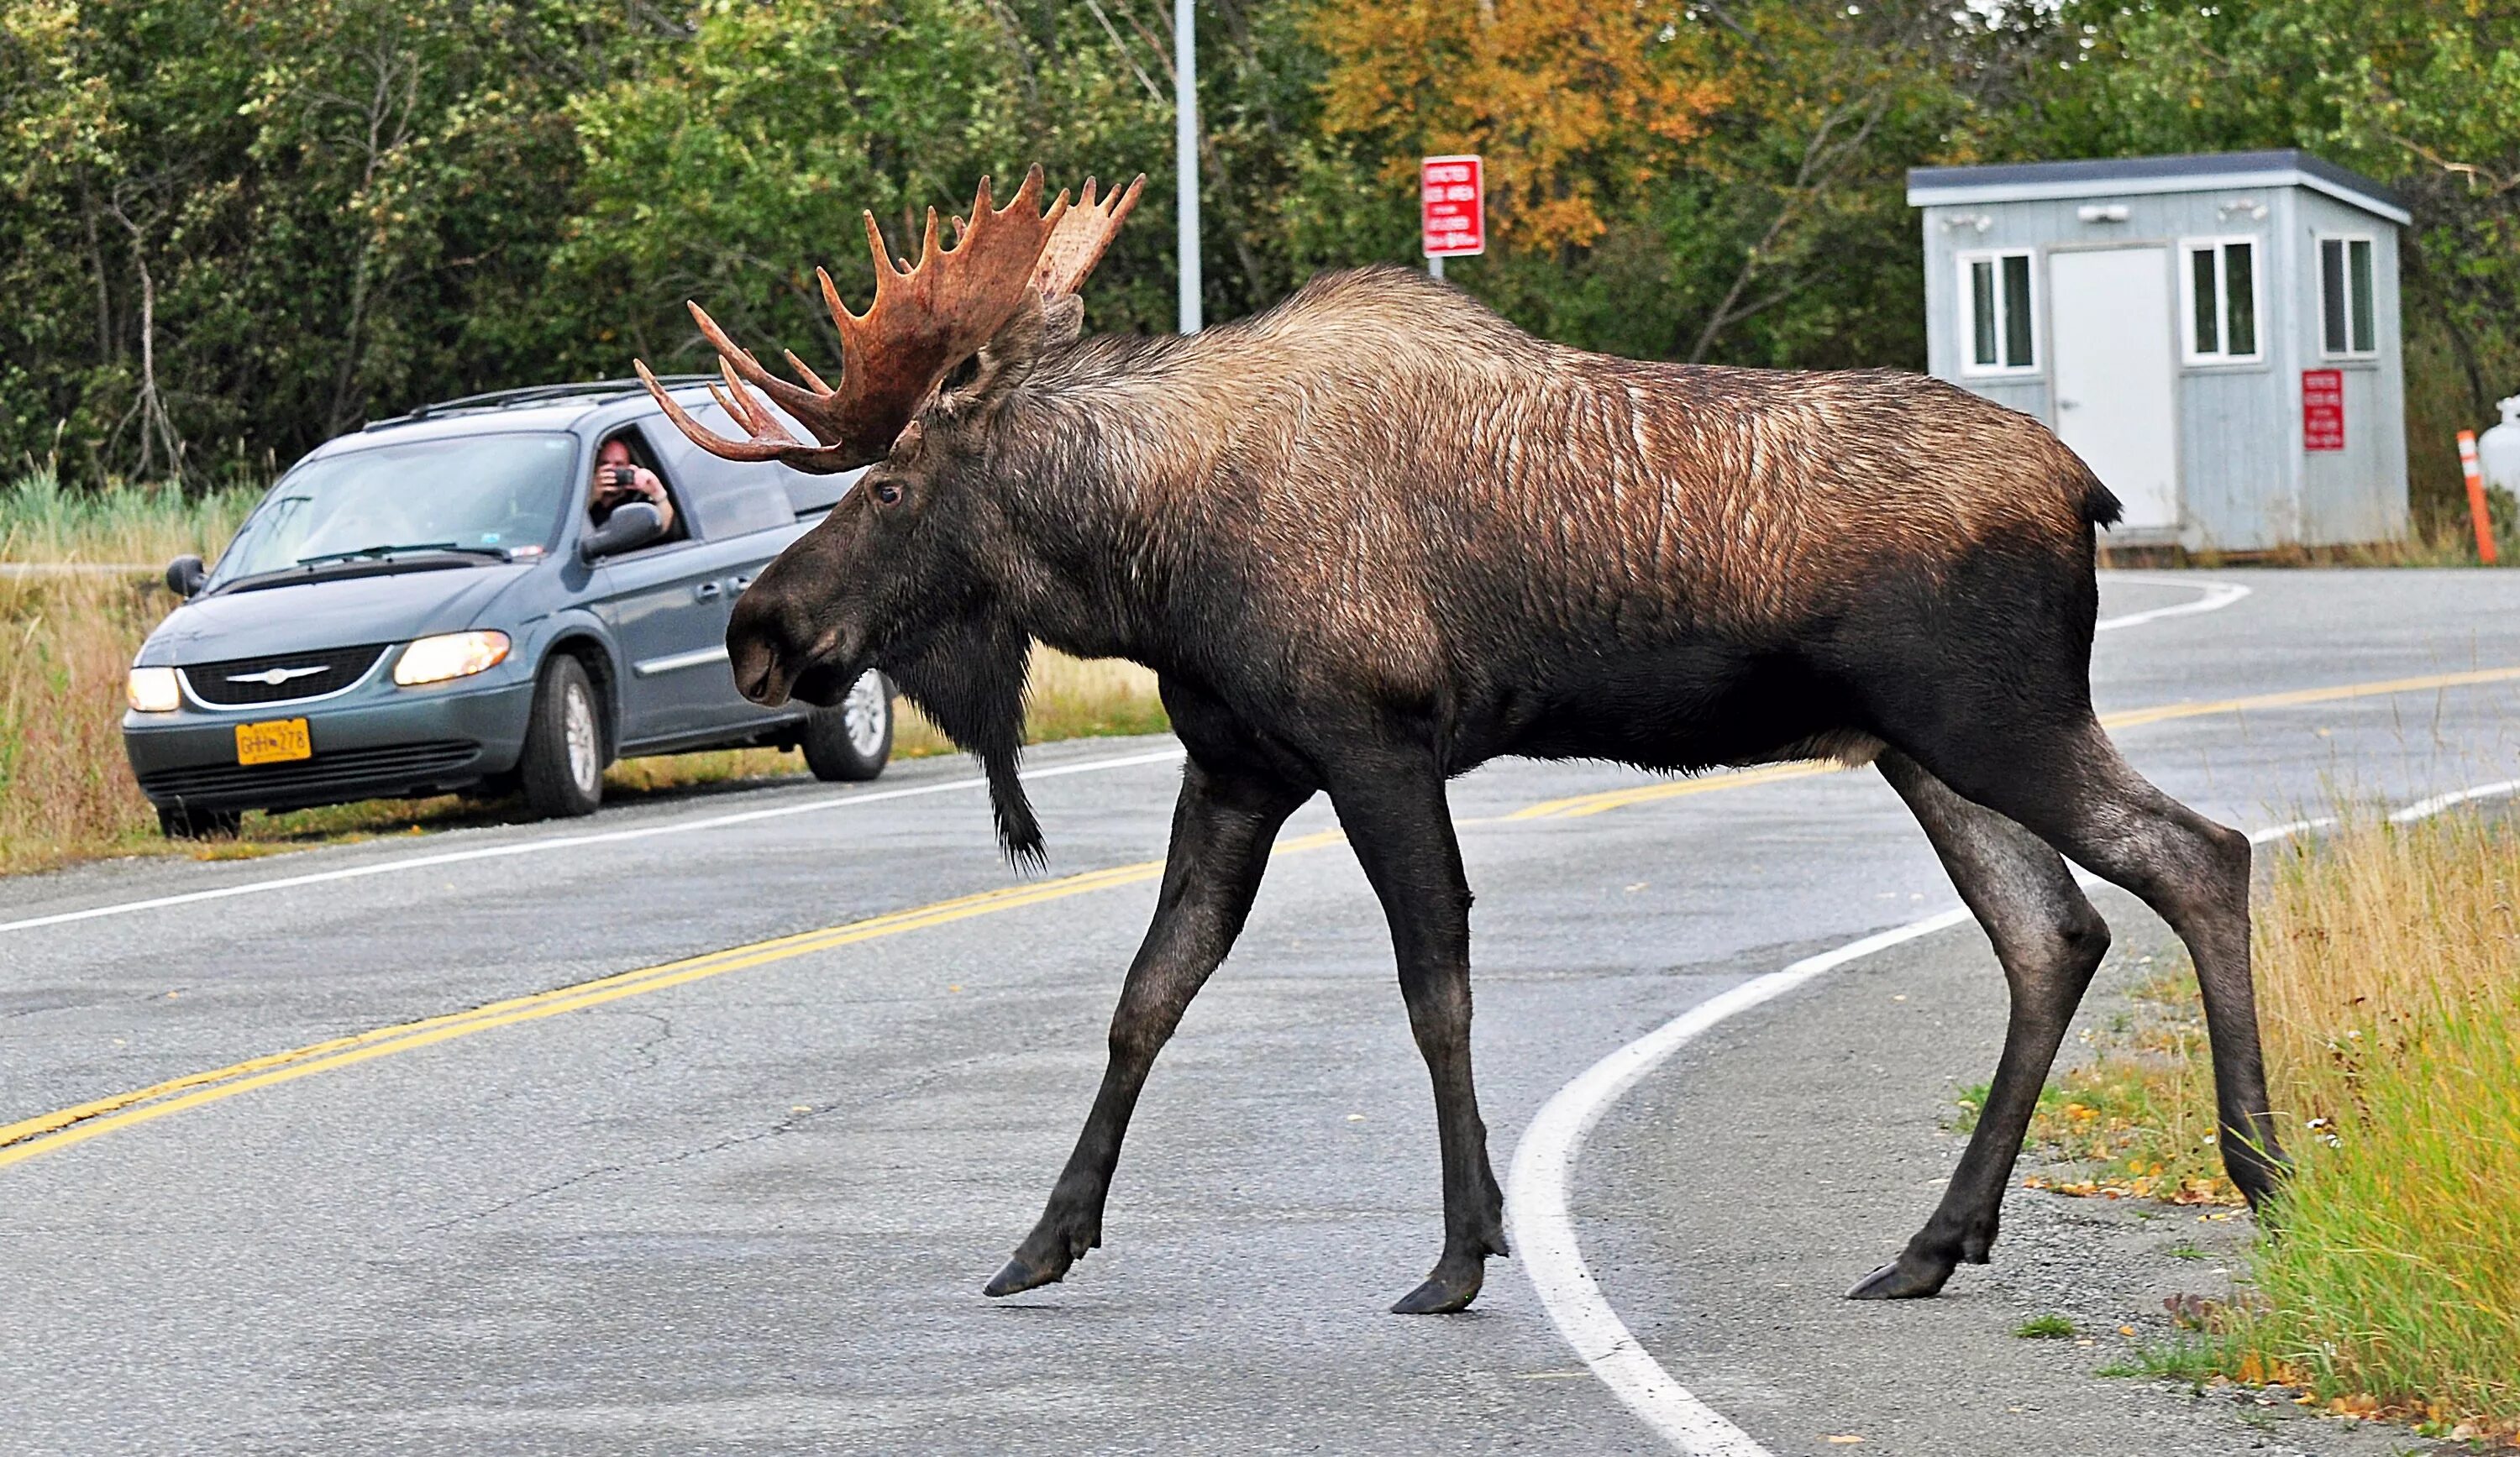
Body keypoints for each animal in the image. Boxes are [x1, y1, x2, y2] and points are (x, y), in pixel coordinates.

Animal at [635, 164, 2288, 1310]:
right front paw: (1044, 1238)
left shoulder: (1371, 740)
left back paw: (2260, 1172)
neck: (1144, 562)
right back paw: (1933, 1243)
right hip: (1921, 748)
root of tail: (2087, 491)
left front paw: (1458, 1252)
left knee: (2198, 853)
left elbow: (1434, 985)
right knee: (2052, 932)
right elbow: (1147, 994)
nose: (760, 630)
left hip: (1995, 716)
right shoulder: (1238, 762)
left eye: (890, 484)